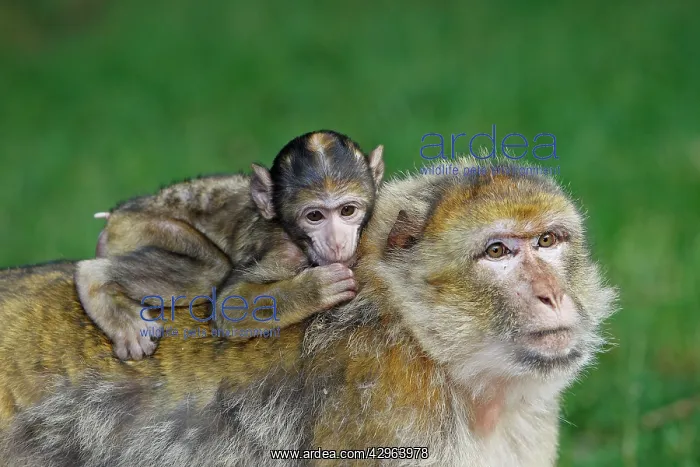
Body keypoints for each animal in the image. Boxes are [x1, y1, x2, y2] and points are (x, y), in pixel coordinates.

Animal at [74, 129, 385, 360]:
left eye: (347, 211)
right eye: (315, 216)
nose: (337, 243)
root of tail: (119, 213)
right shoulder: (283, 251)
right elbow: (229, 305)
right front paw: (316, 288)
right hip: (136, 228)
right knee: (210, 270)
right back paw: (93, 280)